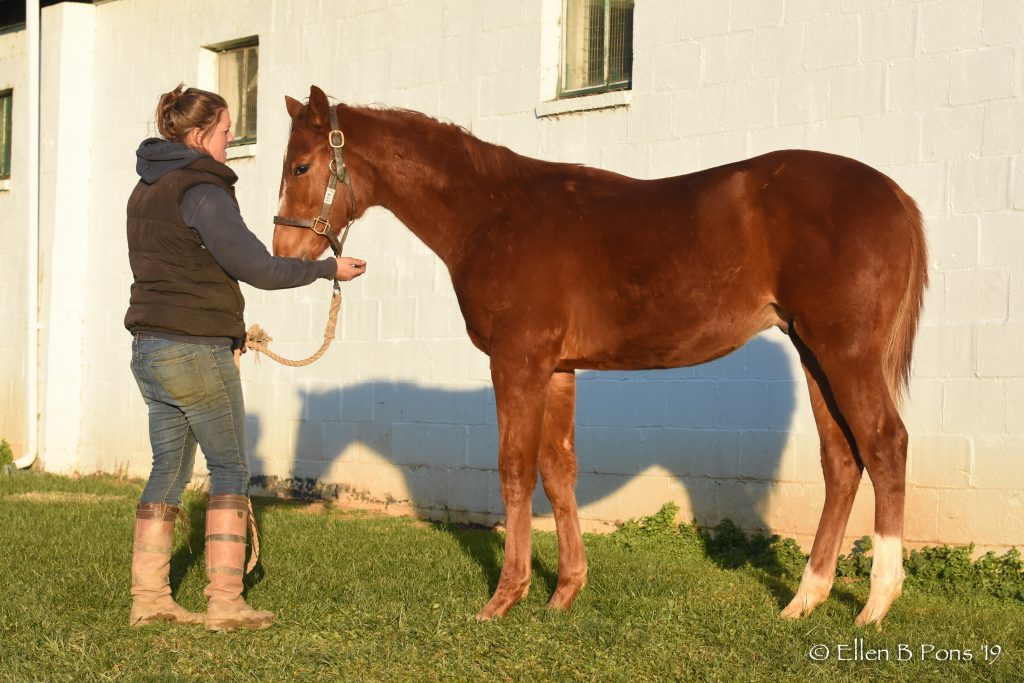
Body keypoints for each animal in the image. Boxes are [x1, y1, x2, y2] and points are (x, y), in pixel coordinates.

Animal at [274, 85, 929, 626]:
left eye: (302, 165)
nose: (284, 250)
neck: (493, 213)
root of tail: (895, 194)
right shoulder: (558, 370)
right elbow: (558, 471)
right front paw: (565, 592)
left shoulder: (518, 361)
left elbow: (514, 470)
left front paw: (504, 598)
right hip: (813, 353)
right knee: (841, 461)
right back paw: (805, 599)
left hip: (846, 352)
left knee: (885, 444)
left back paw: (876, 603)